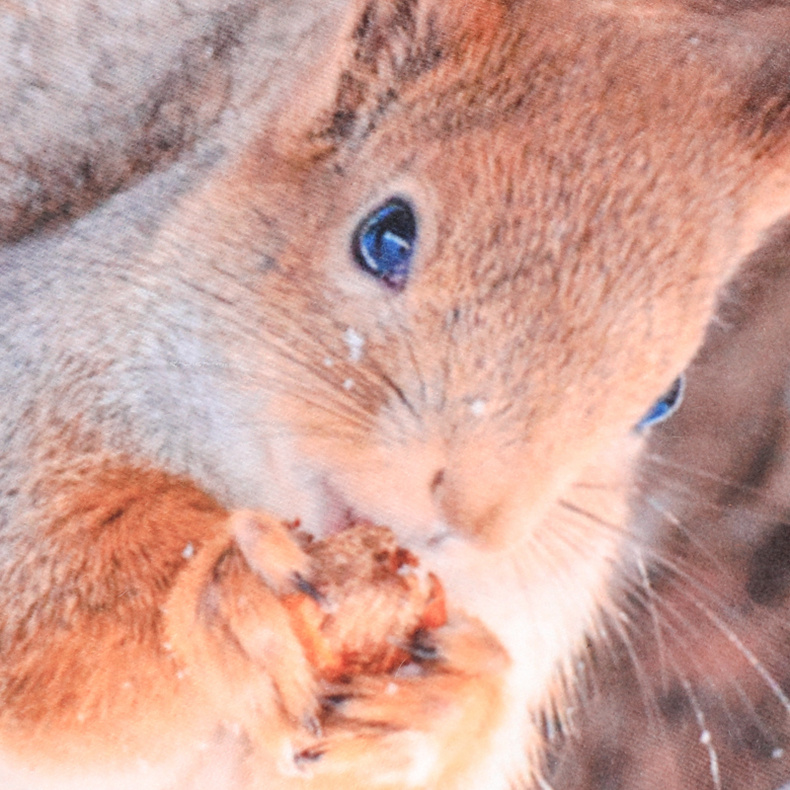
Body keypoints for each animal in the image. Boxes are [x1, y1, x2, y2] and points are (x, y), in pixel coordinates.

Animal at [1, 1, 790, 790]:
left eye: (665, 398)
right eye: (385, 237)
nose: (473, 517)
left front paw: (449, 702)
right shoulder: (40, 377)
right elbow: (43, 617)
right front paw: (230, 588)